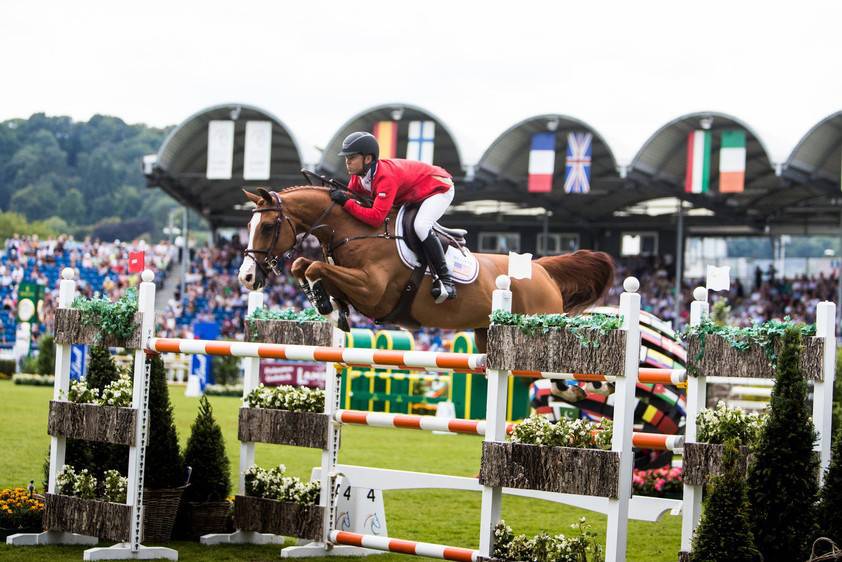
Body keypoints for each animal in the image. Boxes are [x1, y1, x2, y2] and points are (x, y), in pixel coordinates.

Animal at [236, 186, 612, 348]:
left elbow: (312, 266)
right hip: (483, 335)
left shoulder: (373, 291)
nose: (247, 277)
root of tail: (543, 270)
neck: (354, 230)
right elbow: (307, 265)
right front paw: (330, 306)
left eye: (267, 227)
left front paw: (326, 305)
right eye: (248, 225)